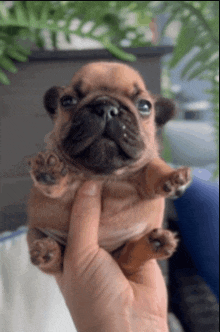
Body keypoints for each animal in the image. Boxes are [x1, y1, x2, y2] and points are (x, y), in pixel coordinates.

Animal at [26, 61, 191, 278]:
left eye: (144, 106)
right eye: (67, 101)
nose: (105, 107)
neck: (104, 176)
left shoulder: (142, 173)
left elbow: (153, 167)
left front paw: (172, 177)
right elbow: (56, 184)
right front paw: (49, 171)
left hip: (125, 257)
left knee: (130, 257)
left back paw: (154, 244)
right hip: (35, 235)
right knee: (55, 263)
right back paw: (48, 252)